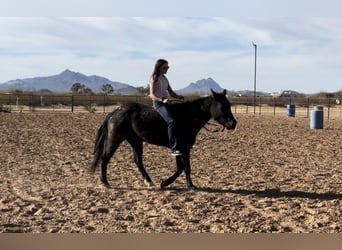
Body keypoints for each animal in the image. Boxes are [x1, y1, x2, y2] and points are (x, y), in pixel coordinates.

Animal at [89, 89, 236, 188]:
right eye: (222, 106)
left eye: (229, 105)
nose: (233, 124)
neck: (187, 116)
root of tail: (115, 112)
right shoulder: (184, 148)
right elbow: (186, 167)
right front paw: (189, 185)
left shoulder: (179, 148)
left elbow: (180, 167)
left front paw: (165, 183)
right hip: (115, 139)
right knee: (105, 158)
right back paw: (105, 182)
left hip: (135, 141)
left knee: (138, 161)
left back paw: (149, 182)